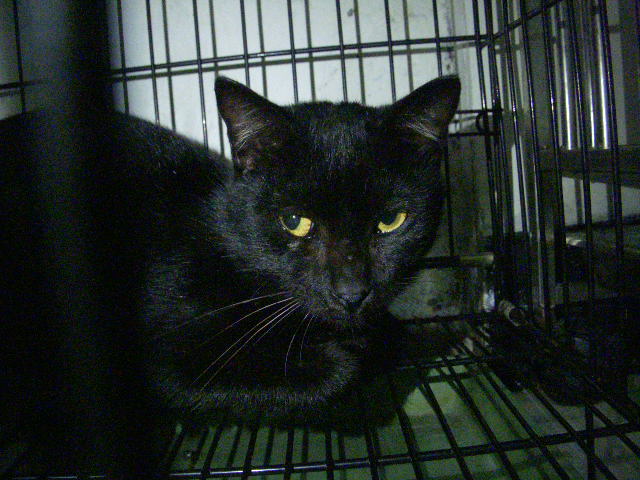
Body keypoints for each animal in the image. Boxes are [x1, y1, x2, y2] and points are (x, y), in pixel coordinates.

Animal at [0, 75, 460, 468]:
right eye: (295, 221)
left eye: (391, 220)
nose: (351, 293)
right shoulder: (159, 354)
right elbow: (325, 374)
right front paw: (356, 353)